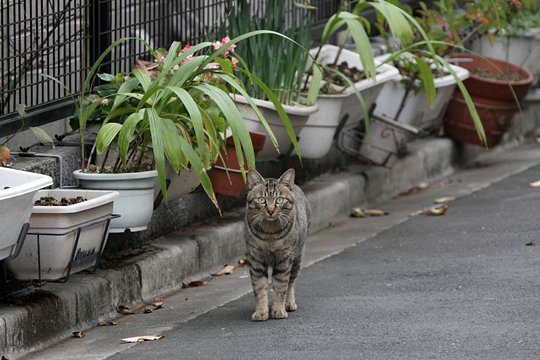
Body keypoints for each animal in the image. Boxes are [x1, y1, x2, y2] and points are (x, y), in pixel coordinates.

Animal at [243, 167, 310, 322]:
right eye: (262, 200)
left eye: (279, 200)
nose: (270, 210)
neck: (270, 233)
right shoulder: (256, 259)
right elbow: (260, 287)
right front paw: (261, 312)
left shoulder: (284, 259)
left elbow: (280, 287)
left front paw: (278, 309)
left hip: (297, 258)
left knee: (290, 282)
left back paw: (289, 303)